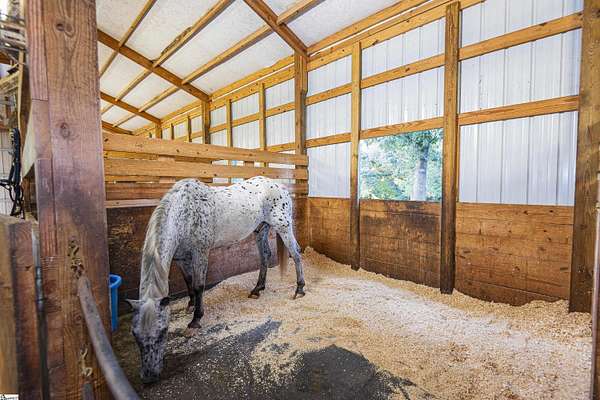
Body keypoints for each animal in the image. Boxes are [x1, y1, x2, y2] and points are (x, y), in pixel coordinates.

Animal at [125, 176, 305, 383]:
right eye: (135, 335)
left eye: (163, 332)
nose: (149, 376)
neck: (184, 213)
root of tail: (279, 185)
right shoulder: (181, 258)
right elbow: (188, 281)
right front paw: (190, 305)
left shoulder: (200, 252)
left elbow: (198, 285)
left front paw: (195, 321)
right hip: (261, 229)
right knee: (265, 256)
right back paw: (257, 289)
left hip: (283, 227)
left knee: (296, 253)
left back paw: (299, 289)